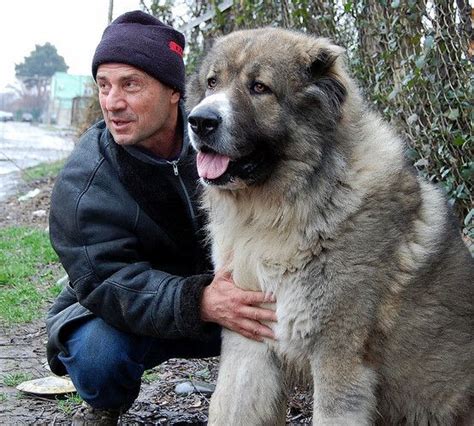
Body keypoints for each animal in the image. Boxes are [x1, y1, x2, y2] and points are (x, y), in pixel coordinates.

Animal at [186, 28, 474, 424]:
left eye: (259, 87)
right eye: (213, 82)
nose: (199, 121)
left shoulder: (338, 356)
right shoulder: (248, 343)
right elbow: (232, 407)